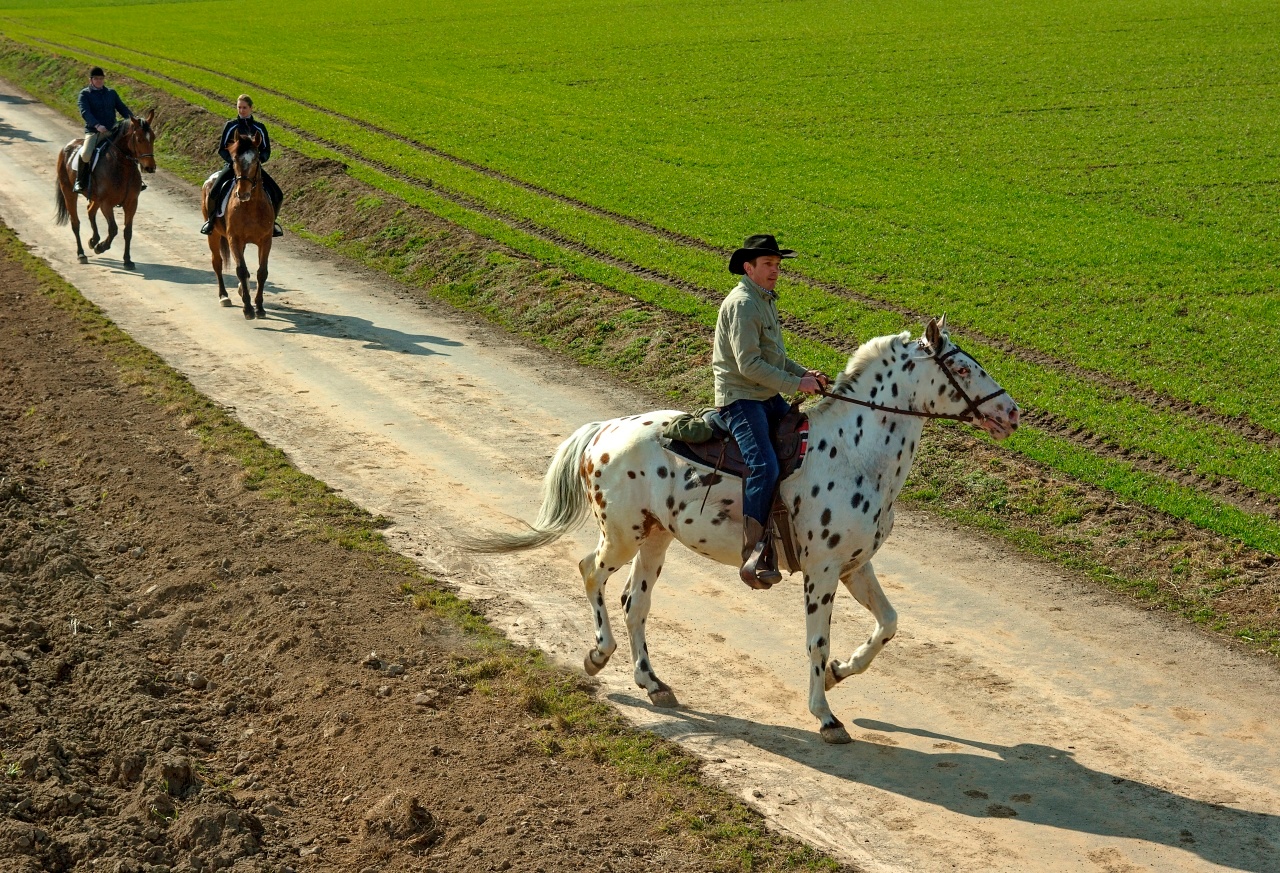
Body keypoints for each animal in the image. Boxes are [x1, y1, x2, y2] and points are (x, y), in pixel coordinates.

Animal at [52, 112, 156, 268]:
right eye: (139, 139)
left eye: (153, 137)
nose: (150, 167)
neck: (122, 166)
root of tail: (68, 146)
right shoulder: (106, 204)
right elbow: (113, 229)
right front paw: (101, 247)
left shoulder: (131, 203)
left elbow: (128, 231)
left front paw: (127, 260)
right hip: (69, 193)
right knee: (75, 223)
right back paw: (82, 254)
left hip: (95, 198)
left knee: (90, 211)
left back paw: (93, 240)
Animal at [200, 132, 271, 316]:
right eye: (234, 159)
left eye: (256, 159)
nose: (243, 192)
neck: (250, 206)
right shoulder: (234, 239)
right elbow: (241, 270)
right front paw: (248, 308)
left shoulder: (266, 240)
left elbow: (262, 272)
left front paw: (259, 306)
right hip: (213, 235)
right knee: (217, 262)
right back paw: (224, 296)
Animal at [471, 320, 1018, 742]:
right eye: (962, 368)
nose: (1011, 412)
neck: (856, 454)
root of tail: (603, 431)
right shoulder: (821, 571)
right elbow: (816, 642)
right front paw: (826, 716)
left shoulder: (854, 566)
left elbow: (888, 624)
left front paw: (840, 673)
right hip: (623, 535)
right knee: (591, 572)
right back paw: (597, 655)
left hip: (656, 539)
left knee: (635, 604)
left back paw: (653, 682)